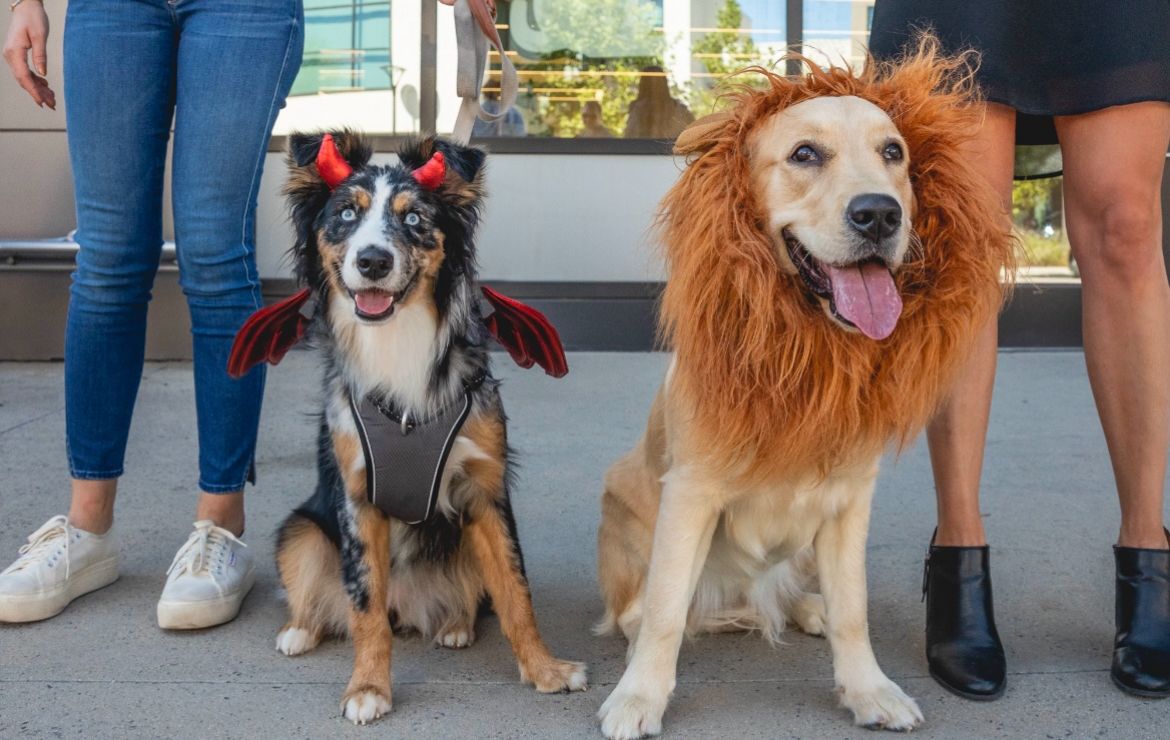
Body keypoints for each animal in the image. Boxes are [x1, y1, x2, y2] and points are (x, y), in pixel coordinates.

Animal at [271, 131, 585, 721]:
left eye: (414, 219)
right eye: (346, 215)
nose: (373, 260)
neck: (397, 339)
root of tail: (408, 606)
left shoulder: (486, 494)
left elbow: (516, 591)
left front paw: (545, 670)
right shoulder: (356, 500)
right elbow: (365, 606)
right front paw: (369, 688)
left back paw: (456, 625)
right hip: (300, 531)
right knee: (336, 598)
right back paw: (299, 630)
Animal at [594, 40, 1015, 740]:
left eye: (893, 152)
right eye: (804, 154)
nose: (879, 214)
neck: (805, 349)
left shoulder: (848, 503)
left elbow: (854, 610)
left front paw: (868, 688)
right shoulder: (690, 494)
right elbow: (664, 614)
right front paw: (639, 697)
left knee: (785, 598)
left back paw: (804, 609)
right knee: (650, 613)